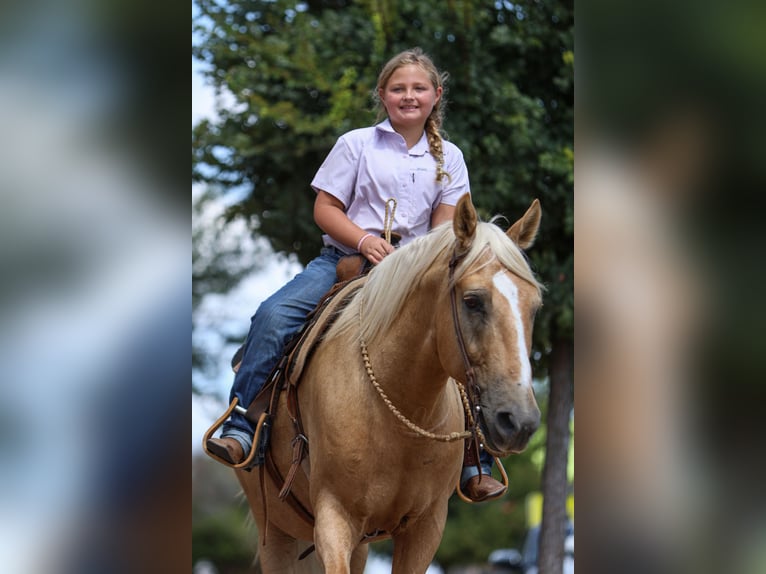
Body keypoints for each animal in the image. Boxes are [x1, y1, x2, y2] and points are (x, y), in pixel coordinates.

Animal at [237, 195, 544, 574]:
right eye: (472, 300)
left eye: (534, 307)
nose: (519, 421)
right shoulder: (334, 519)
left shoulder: (426, 527)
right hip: (276, 533)